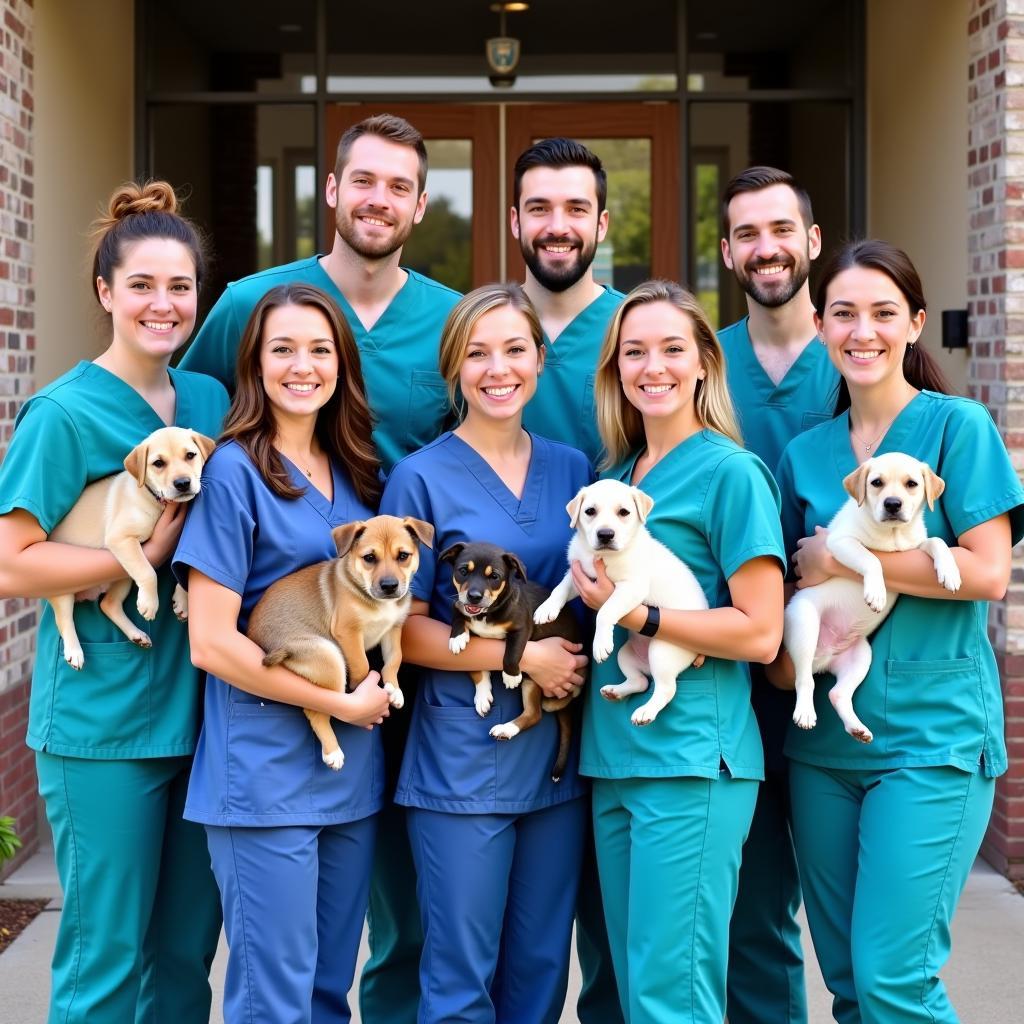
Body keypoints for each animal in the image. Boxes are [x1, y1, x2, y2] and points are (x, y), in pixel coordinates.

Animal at [48, 425, 217, 671]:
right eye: (158, 463)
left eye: (190, 455)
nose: (183, 483)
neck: (155, 501)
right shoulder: (121, 538)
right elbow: (148, 573)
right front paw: (150, 604)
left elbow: (183, 567)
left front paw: (183, 600)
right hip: (64, 584)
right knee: (64, 619)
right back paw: (74, 652)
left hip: (122, 576)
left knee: (108, 604)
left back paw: (136, 635)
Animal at [251, 516, 436, 770]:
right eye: (369, 558)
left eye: (403, 556)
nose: (389, 586)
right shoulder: (348, 632)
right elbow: (362, 664)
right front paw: (360, 688)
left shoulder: (394, 629)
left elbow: (394, 660)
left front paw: (394, 689)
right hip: (327, 654)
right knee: (317, 708)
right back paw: (332, 751)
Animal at [442, 540, 585, 778]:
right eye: (463, 571)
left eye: (494, 576)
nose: (474, 596)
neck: (486, 613)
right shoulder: (461, 609)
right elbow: (473, 663)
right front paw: (458, 638)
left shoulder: (521, 628)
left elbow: (512, 653)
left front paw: (509, 676)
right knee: (533, 714)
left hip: (531, 681)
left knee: (535, 714)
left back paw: (506, 728)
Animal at [532, 479, 708, 729]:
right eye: (590, 511)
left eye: (624, 512)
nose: (605, 534)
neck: (603, 557)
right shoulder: (579, 574)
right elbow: (560, 588)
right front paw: (547, 609)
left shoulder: (631, 587)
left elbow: (605, 612)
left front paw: (599, 643)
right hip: (626, 655)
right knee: (641, 682)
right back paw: (615, 691)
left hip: (662, 652)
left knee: (666, 688)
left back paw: (646, 712)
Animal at [782, 450, 958, 745]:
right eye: (876, 483)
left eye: (912, 484)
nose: (893, 504)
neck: (893, 535)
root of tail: (823, 657)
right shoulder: (840, 543)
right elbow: (871, 558)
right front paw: (876, 592)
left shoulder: (915, 548)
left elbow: (937, 542)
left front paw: (950, 572)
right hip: (805, 624)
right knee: (804, 679)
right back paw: (805, 712)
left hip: (860, 657)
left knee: (837, 693)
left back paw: (857, 728)